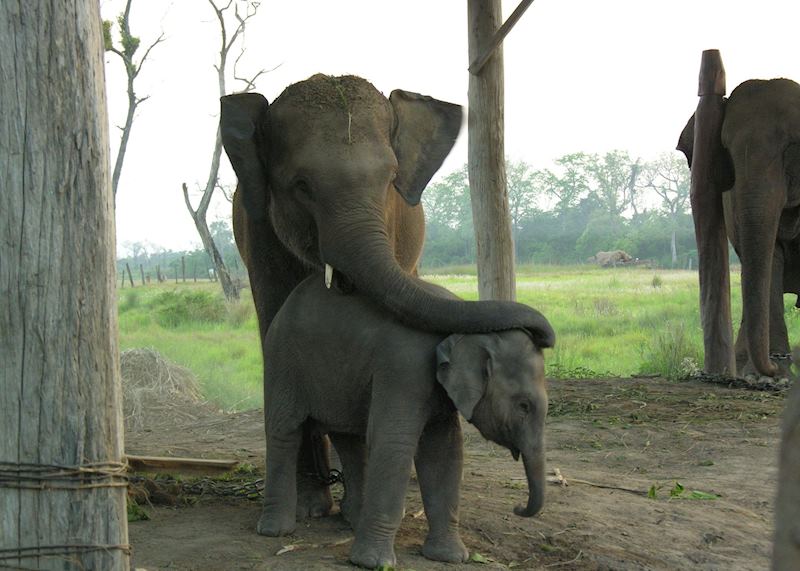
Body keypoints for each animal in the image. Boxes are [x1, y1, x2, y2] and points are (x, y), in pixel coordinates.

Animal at [220, 74, 555, 515]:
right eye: (300, 185)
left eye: (389, 179)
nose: (544, 336)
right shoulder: (258, 234)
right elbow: (276, 325)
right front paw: (310, 507)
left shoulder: (394, 223)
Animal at [257, 273, 554, 568]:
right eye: (524, 406)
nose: (517, 508)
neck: (461, 325)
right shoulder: (404, 369)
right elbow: (394, 442)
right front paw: (373, 563)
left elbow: (443, 451)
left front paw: (450, 557)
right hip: (282, 360)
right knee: (285, 431)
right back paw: (276, 530)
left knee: (348, 437)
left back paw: (354, 519)